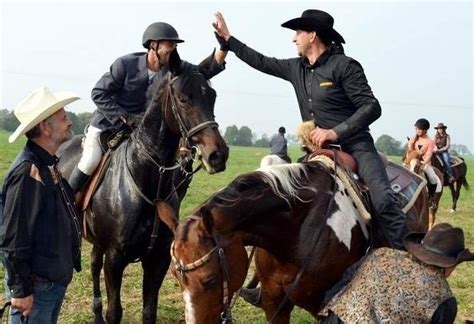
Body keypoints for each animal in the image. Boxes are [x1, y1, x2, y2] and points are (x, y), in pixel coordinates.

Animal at [57, 58, 228, 324]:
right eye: (183, 99)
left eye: (212, 96)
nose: (218, 154)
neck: (147, 179)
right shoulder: (115, 257)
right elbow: (114, 312)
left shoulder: (158, 258)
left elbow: (149, 311)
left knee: (94, 263)